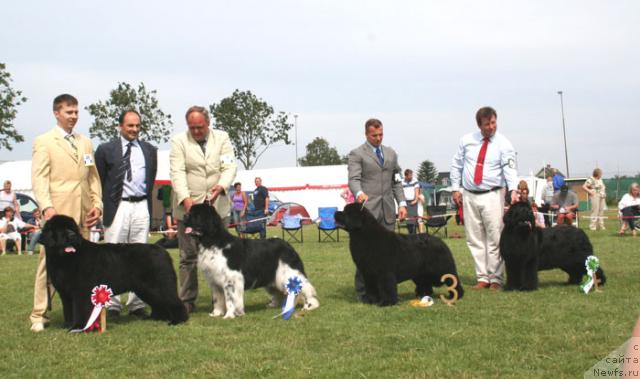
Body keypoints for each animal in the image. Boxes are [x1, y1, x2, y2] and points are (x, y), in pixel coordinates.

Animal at [40, 217, 188, 330]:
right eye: (60, 229)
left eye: (72, 229)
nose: (72, 236)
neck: (65, 259)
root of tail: (162, 250)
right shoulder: (65, 293)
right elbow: (68, 310)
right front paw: (68, 325)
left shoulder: (80, 291)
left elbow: (79, 310)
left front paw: (78, 327)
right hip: (145, 289)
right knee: (158, 303)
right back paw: (156, 318)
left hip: (159, 285)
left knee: (173, 301)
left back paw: (177, 321)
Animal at [182, 203, 318, 320]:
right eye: (190, 212)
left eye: (197, 214)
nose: (184, 216)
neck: (212, 241)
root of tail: (288, 245)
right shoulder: (214, 280)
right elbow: (217, 299)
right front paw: (216, 313)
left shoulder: (231, 279)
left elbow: (230, 299)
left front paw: (229, 315)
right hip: (273, 277)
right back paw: (275, 305)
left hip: (288, 274)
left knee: (306, 288)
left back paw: (310, 305)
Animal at [332, 203, 462, 308]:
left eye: (346, 212)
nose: (335, 212)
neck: (364, 235)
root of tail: (439, 240)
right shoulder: (368, 273)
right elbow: (371, 289)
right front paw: (372, 301)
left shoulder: (385, 272)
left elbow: (386, 288)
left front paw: (386, 303)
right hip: (420, 273)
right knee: (425, 283)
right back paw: (422, 296)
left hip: (442, 268)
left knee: (453, 280)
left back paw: (457, 295)